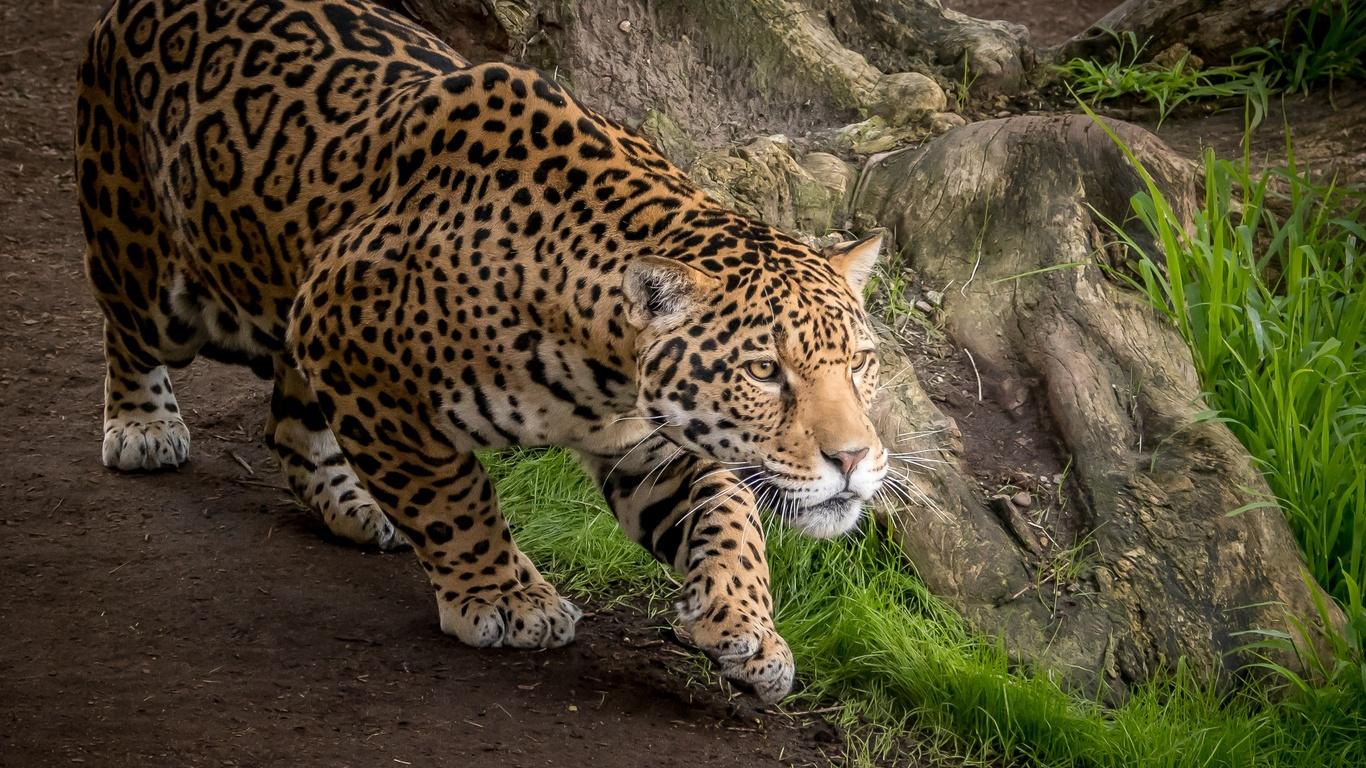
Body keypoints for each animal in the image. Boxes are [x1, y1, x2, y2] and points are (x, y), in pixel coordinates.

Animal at [76, 0, 889, 703]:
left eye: (860, 363)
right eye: (764, 371)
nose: (854, 459)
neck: (603, 364)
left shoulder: (647, 442)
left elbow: (730, 513)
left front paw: (746, 628)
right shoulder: (355, 349)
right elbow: (450, 491)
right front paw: (507, 597)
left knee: (288, 426)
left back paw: (352, 505)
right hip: (160, 273)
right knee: (128, 323)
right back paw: (144, 426)